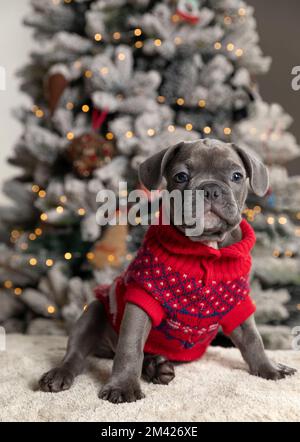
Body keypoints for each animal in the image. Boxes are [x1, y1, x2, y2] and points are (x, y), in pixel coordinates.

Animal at [38, 139, 296, 404]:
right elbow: (130, 347)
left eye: (237, 176)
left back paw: (156, 367)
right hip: (94, 311)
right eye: (181, 176)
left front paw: (269, 368)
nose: (210, 189)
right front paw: (123, 386)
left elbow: (254, 339)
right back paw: (61, 373)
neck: (205, 247)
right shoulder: (142, 300)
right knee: (77, 353)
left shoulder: (238, 305)